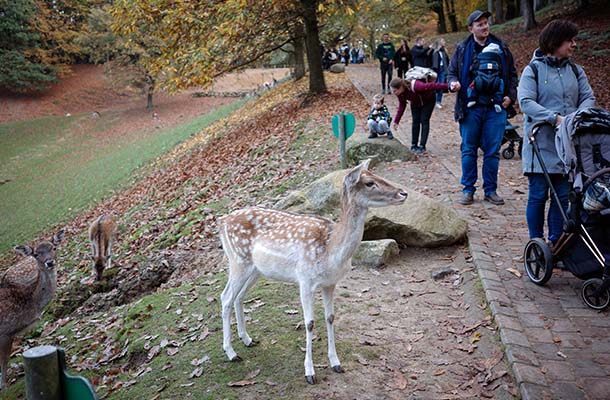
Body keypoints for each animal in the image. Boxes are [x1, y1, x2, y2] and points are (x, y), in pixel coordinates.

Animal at [0, 230, 64, 390]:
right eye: (35, 254)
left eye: (54, 247)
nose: (49, 262)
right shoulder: (5, 332)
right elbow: (4, 361)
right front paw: (3, 386)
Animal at [220, 160, 408, 384]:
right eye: (369, 182)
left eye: (377, 175)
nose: (403, 193)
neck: (331, 250)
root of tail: (222, 221)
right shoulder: (305, 280)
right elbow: (309, 323)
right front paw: (309, 372)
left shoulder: (330, 283)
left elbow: (330, 317)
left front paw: (336, 363)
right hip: (237, 261)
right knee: (225, 297)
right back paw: (231, 353)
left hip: (256, 269)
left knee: (239, 297)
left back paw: (248, 340)